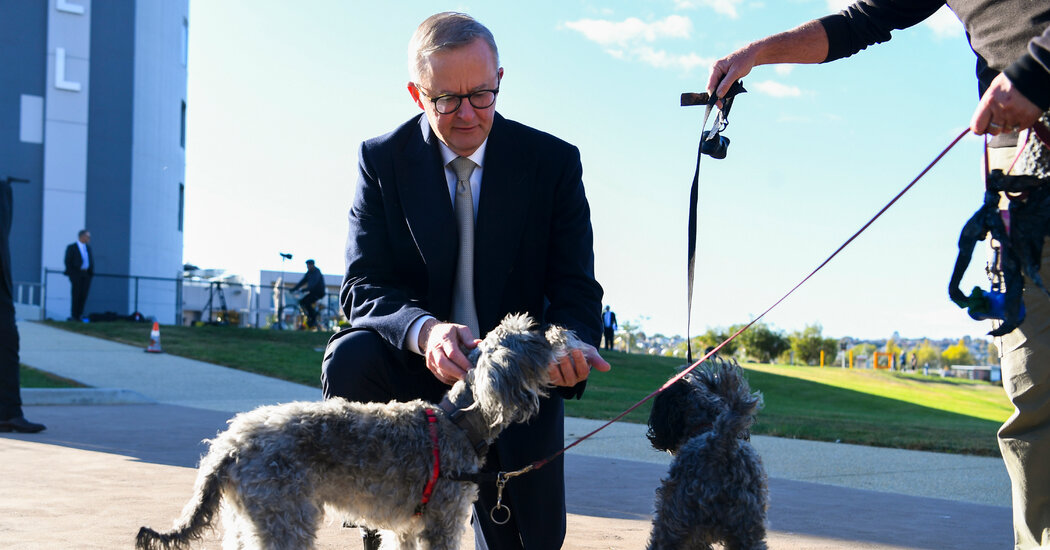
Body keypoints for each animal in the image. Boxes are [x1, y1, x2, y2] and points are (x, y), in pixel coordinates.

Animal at [136, 312, 583, 550]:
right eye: (535, 337)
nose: (563, 331)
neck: (457, 420)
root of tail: (226, 446)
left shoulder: (407, 529)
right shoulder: (443, 521)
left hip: (247, 520)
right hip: (285, 517)